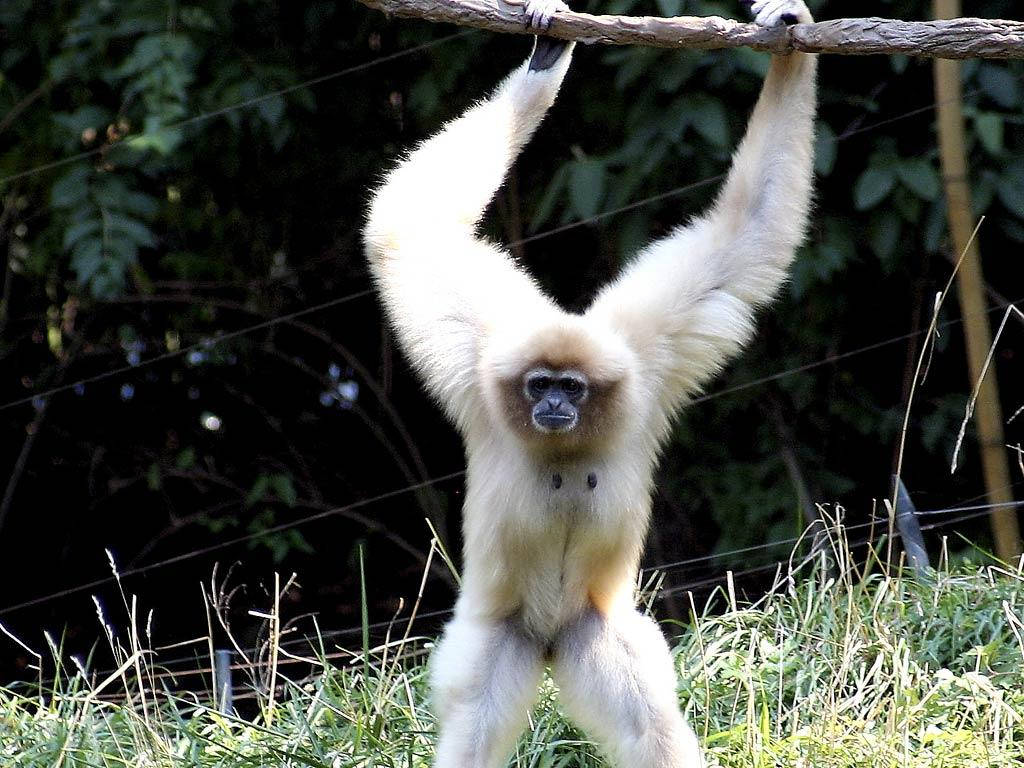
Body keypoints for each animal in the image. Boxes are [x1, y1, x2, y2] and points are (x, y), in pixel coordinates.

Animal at [363, 0, 817, 765]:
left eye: (572, 388)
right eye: (540, 382)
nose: (551, 402)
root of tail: (549, 639)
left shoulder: (647, 358)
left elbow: (747, 233)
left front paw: (787, 38)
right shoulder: (483, 360)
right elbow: (408, 231)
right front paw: (544, 65)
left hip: (592, 628)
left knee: (649, 725)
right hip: (499, 632)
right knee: (475, 722)